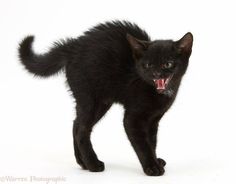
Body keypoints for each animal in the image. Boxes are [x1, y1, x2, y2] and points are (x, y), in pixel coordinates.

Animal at [18, 20, 192, 176]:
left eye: (168, 64)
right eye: (148, 65)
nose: (156, 73)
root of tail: (73, 47)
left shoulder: (154, 119)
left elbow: (152, 141)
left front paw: (156, 160)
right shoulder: (133, 118)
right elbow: (143, 143)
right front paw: (152, 167)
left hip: (101, 102)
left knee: (76, 124)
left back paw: (82, 162)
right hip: (90, 98)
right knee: (81, 129)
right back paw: (93, 164)